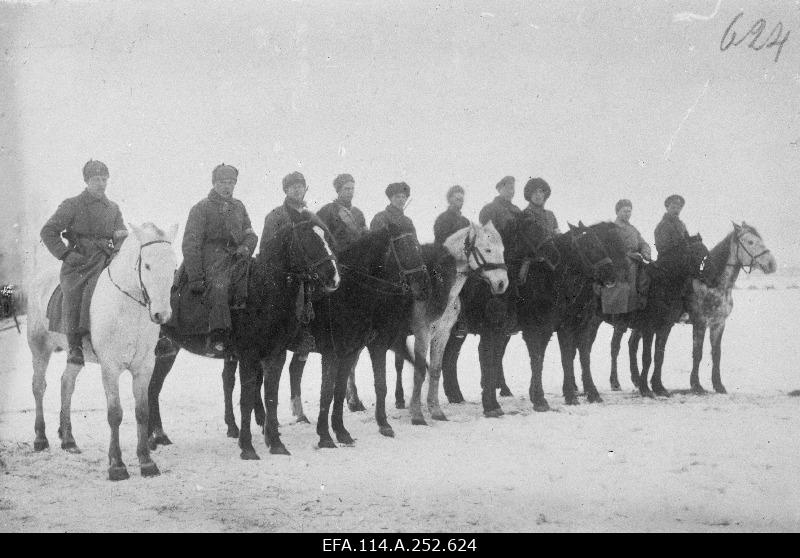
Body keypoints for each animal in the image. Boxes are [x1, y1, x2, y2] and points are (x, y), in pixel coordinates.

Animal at [30, 223, 178, 482]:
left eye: (173, 265)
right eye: (147, 265)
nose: (162, 314)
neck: (128, 308)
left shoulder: (144, 367)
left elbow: (142, 412)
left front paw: (146, 462)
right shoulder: (110, 368)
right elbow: (115, 413)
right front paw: (117, 465)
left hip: (74, 356)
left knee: (66, 384)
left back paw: (68, 440)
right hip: (39, 348)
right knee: (39, 387)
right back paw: (40, 438)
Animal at [148, 212, 340, 462]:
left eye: (327, 236)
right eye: (309, 239)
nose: (334, 278)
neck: (264, 290)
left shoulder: (275, 356)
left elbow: (270, 396)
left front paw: (276, 444)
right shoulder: (248, 356)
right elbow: (247, 398)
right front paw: (247, 447)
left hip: (167, 351)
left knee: (153, 388)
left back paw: (158, 436)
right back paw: (153, 438)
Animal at [262, 223, 428, 450]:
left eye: (417, 244)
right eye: (404, 246)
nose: (424, 283)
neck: (350, 295)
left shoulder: (351, 352)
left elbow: (342, 391)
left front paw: (342, 432)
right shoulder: (336, 353)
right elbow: (327, 393)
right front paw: (325, 436)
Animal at [444, 221, 624, 414]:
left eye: (602, 244)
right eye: (590, 246)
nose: (612, 276)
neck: (549, 280)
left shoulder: (572, 326)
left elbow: (575, 357)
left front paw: (585, 393)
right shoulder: (545, 328)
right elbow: (545, 358)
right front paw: (544, 398)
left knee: (452, 355)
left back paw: (456, 395)